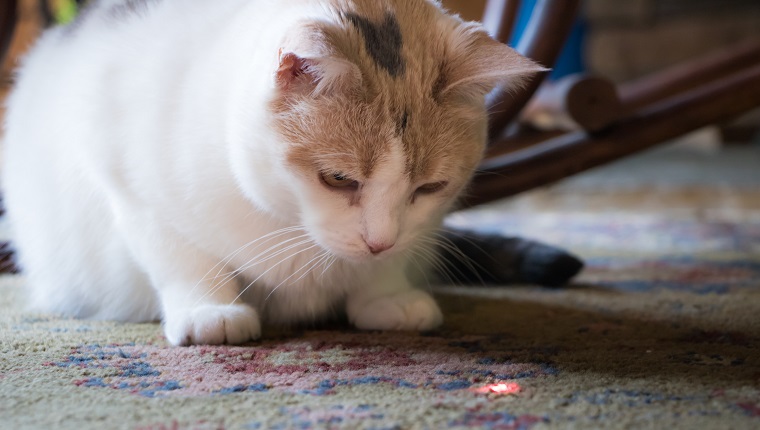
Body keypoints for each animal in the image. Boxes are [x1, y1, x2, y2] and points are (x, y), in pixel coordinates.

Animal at [2, 0, 556, 344]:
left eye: (430, 187)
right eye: (338, 179)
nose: (378, 241)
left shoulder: (418, 228)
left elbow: (391, 263)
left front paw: (387, 295)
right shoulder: (129, 185)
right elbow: (185, 258)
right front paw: (210, 311)